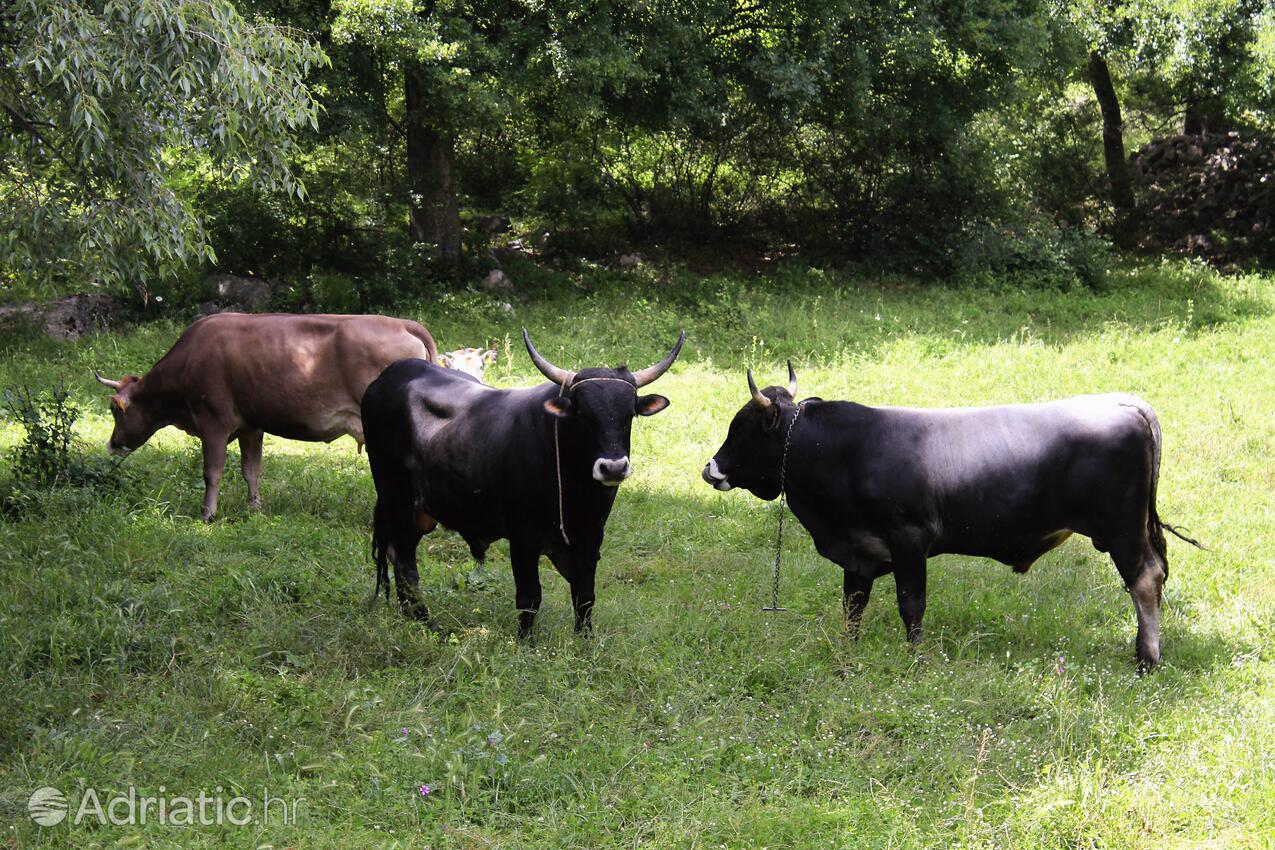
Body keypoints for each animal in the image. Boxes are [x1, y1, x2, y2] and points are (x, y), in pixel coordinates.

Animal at [92, 312, 436, 522]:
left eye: (115, 410)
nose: (112, 444)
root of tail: (404, 324)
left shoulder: (213, 423)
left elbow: (212, 471)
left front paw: (207, 514)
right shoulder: (251, 426)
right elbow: (251, 469)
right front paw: (254, 507)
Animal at [364, 328, 683, 634]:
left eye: (629, 414)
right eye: (582, 414)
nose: (613, 468)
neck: (575, 490)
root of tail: (389, 375)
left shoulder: (591, 538)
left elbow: (584, 596)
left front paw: (585, 640)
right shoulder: (523, 538)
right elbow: (530, 597)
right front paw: (526, 642)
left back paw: (411, 616)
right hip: (396, 496)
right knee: (405, 561)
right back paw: (427, 622)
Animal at [703, 361, 1198, 667]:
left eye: (741, 427)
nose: (711, 468)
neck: (846, 451)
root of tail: (1123, 402)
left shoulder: (910, 540)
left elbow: (911, 606)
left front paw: (916, 660)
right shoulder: (859, 553)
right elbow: (852, 606)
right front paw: (848, 652)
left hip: (1122, 530)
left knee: (1145, 581)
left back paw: (1146, 659)